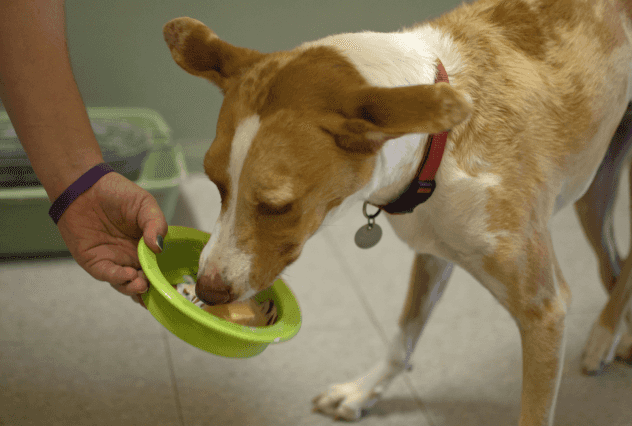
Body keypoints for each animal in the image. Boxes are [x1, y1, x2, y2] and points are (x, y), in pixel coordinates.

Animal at [162, 1, 632, 424]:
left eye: (278, 206)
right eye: (216, 183)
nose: (206, 290)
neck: (437, 151)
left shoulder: (544, 311)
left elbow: (533, 410)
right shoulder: (433, 251)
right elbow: (403, 334)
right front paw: (364, 390)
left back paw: (603, 337)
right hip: (595, 188)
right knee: (614, 261)